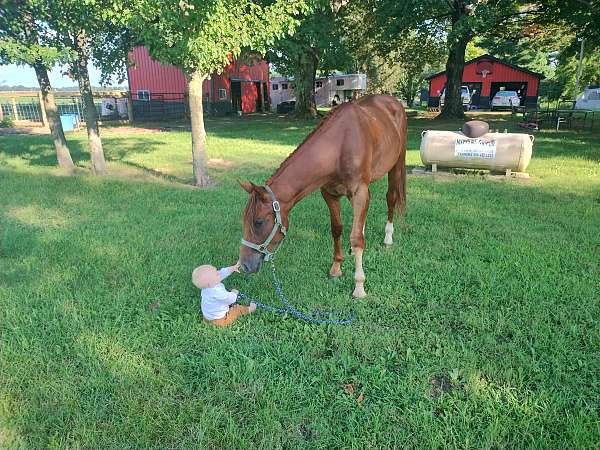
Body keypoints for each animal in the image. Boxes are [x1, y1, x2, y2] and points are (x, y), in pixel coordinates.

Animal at [239, 94, 408, 298]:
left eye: (259, 222)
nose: (244, 265)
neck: (340, 146)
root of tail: (394, 102)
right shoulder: (330, 194)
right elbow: (337, 229)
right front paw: (336, 269)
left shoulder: (359, 191)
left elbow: (356, 238)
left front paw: (359, 286)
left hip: (396, 165)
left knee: (391, 198)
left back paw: (388, 238)